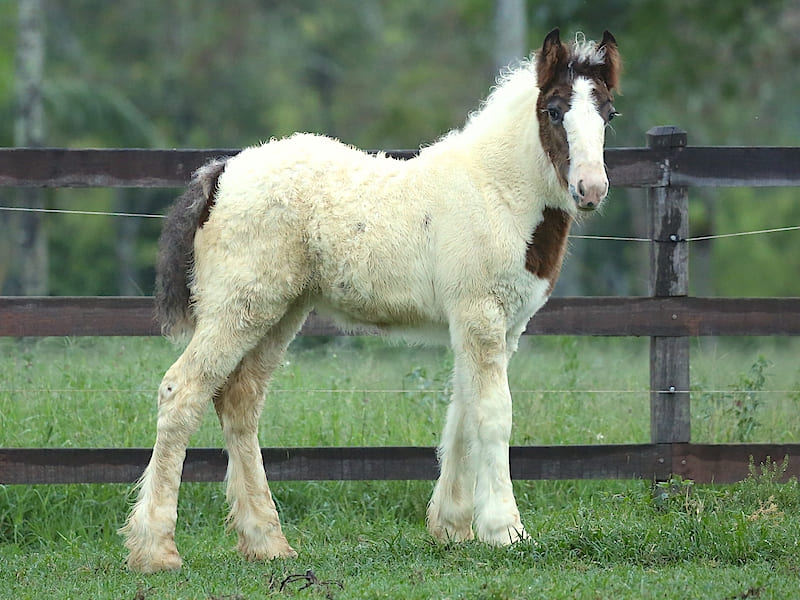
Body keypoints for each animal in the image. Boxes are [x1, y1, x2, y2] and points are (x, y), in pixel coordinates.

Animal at [120, 28, 621, 573]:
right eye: (553, 110)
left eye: (609, 113)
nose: (591, 189)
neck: (495, 191)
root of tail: (222, 173)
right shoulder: (481, 317)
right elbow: (493, 414)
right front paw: (505, 531)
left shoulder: (497, 328)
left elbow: (462, 413)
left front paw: (452, 528)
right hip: (240, 307)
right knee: (181, 391)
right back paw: (156, 549)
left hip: (280, 313)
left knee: (239, 401)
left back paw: (267, 541)